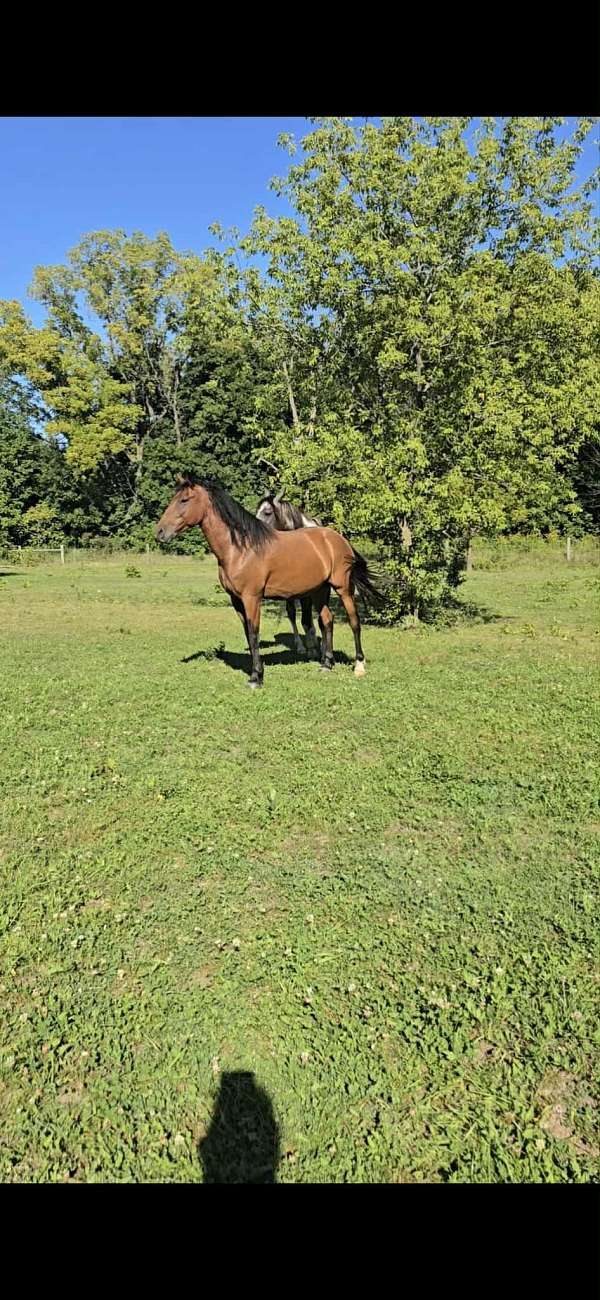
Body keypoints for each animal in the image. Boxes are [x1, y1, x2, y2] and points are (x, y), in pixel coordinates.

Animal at [255, 490, 321, 659]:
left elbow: (307, 619)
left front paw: (313, 647)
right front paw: (308, 648)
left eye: (267, 512)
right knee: (293, 614)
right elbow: (298, 617)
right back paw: (302, 645)